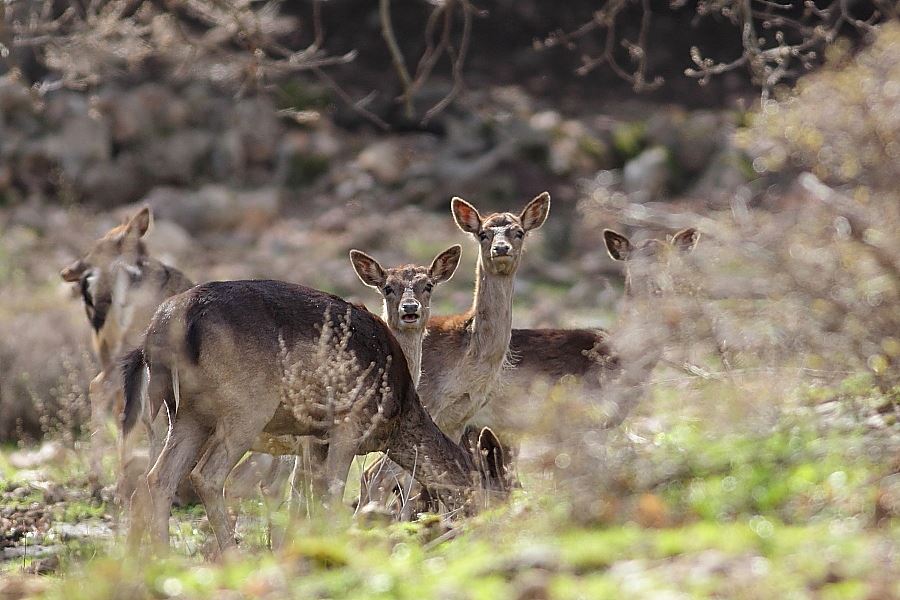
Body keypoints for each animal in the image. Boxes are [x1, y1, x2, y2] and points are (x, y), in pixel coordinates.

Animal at [123, 278, 510, 552]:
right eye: (501, 496)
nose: (500, 536)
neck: (396, 415)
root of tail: (160, 328)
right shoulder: (348, 423)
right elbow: (331, 494)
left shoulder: (315, 436)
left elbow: (307, 497)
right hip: (246, 407)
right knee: (206, 476)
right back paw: (230, 554)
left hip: (188, 414)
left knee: (157, 478)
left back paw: (158, 558)